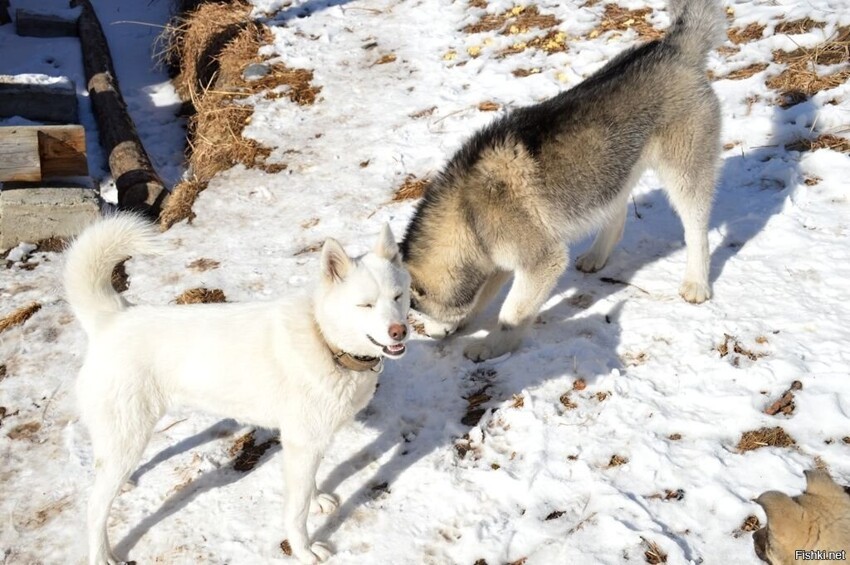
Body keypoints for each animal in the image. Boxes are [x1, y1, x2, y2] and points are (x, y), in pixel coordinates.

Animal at [64, 214, 410, 560]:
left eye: (397, 297)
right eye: (365, 305)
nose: (400, 331)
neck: (324, 340)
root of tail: (113, 318)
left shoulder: (306, 444)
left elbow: (307, 486)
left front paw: (316, 501)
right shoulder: (303, 443)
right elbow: (296, 513)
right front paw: (304, 550)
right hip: (129, 437)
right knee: (94, 508)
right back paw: (102, 556)